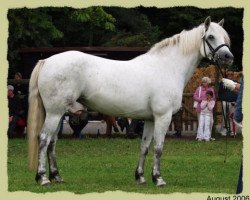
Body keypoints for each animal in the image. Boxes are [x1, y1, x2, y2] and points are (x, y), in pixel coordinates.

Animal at [27, 16, 234, 186]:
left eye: (224, 38)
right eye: (210, 37)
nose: (228, 57)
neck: (167, 67)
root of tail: (46, 61)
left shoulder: (150, 119)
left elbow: (144, 147)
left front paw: (141, 177)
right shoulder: (163, 117)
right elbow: (158, 148)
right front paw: (158, 179)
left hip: (59, 113)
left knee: (53, 142)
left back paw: (56, 176)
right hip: (54, 113)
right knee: (44, 139)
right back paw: (43, 178)